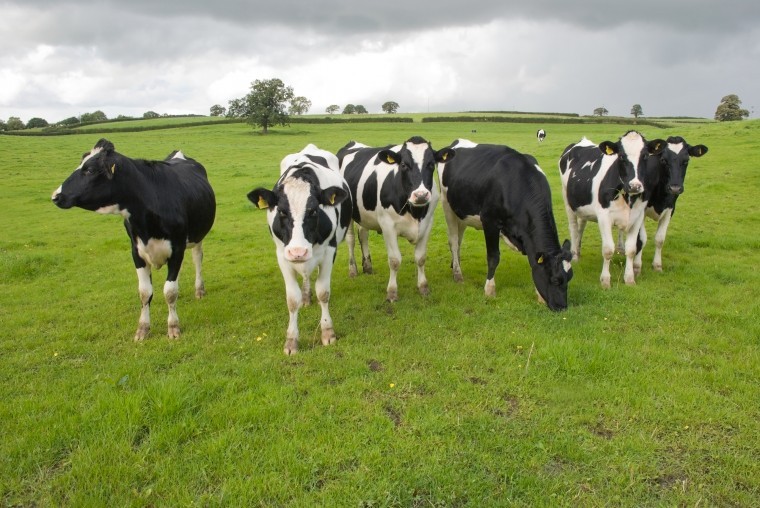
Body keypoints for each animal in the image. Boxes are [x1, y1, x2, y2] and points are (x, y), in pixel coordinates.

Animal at [52, 137, 215, 340]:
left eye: (89, 170)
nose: (56, 196)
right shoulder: (136, 252)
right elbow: (145, 292)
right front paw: (142, 329)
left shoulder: (177, 250)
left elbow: (169, 291)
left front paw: (173, 327)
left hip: (197, 235)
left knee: (197, 258)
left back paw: (199, 289)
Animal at [248, 145, 352, 356]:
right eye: (281, 211)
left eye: (313, 211)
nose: (298, 252)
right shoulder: (282, 255)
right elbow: (292, 299)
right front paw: (291, 341)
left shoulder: (329, 251)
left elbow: (323, 292)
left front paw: (328, 332)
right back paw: (306, 297)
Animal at [336, 135, 454, 302]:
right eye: (403, 165)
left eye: (431, 164)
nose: (421, 195)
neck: (415, 212)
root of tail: (352, 144)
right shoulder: (388, 226)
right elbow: (394, 260)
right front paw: (392, 292)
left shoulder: (427, 223)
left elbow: (421, 257)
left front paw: (423, 287)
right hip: (347, 212)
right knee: (351, 239)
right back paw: (353, 270)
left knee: (363, 235)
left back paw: (367, 266)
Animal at [436, 138, 572, 310]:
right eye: (555, 280)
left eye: (570, 278)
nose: (562, 307)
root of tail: (456, 142)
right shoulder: (490, 221)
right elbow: (493, 257)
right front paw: (489, 290)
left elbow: (533, 261)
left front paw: (539, 295)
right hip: (447, 206)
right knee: (453, 241)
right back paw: (458, 275)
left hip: (462, 212)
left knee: (458, 241)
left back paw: (455, 265)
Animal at [560, 131, 664, 288]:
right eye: (621, 156)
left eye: (645, 156)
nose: (635, 186)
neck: (627, 197)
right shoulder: (604, 217)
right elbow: (608, 250)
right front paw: (605, 280)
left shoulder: (638, 216)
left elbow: (631, 249)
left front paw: (629, 278)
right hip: (568, 202)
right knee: (573, 228)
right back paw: (574, 257)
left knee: (581, 227)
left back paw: (577, 251)